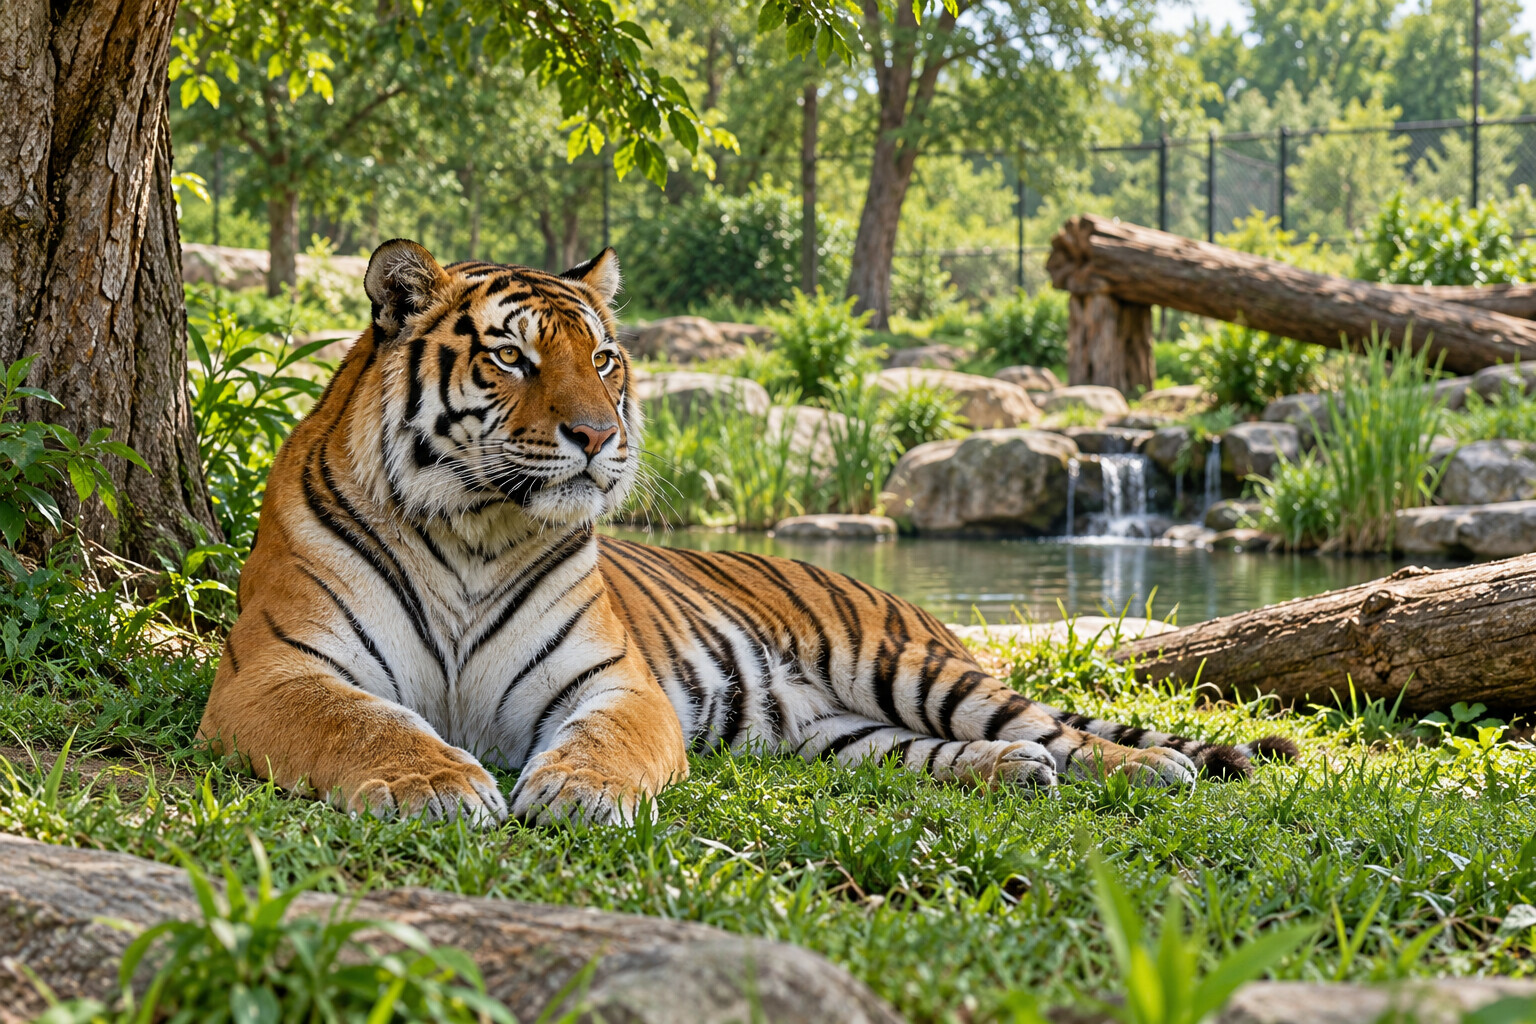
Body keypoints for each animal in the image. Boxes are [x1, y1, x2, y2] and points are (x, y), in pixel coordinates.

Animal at [197, 238, 1296, 826]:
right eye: (510, 357)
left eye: (603, 357)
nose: (598, 436)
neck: (477, 530)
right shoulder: (276, 671)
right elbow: (363, 720)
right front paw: (435, 784)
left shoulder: (614, 683)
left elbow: (604, 742)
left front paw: (579, 795)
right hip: (831, 729)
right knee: (937, 750)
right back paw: (1014, 775)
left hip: (915, 667)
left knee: (1057, 726)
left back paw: (1146, 767)